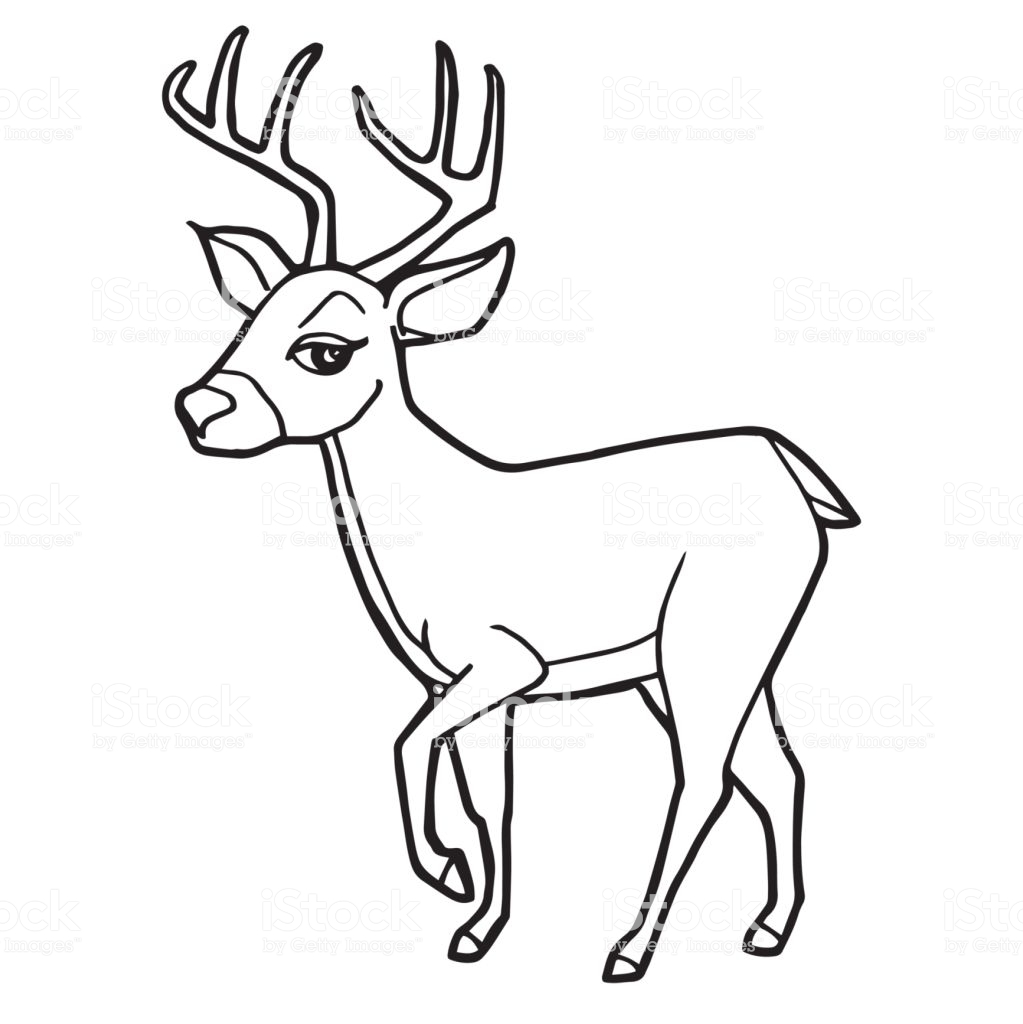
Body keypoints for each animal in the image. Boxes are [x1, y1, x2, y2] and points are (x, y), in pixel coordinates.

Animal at [165, 26, 860, 982]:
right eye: (249, 319)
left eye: (326, 349)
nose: (200, 407)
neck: (436, 525)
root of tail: (791, 471)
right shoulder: (470, 685)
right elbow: (489, 799)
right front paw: (478, 927)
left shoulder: (503, 661)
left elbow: (407, 743)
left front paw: (445, 873)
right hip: (714, 654)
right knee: (775, 767)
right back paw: (768, 927)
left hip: (711, 637)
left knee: (704, 777)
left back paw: (629, 950)